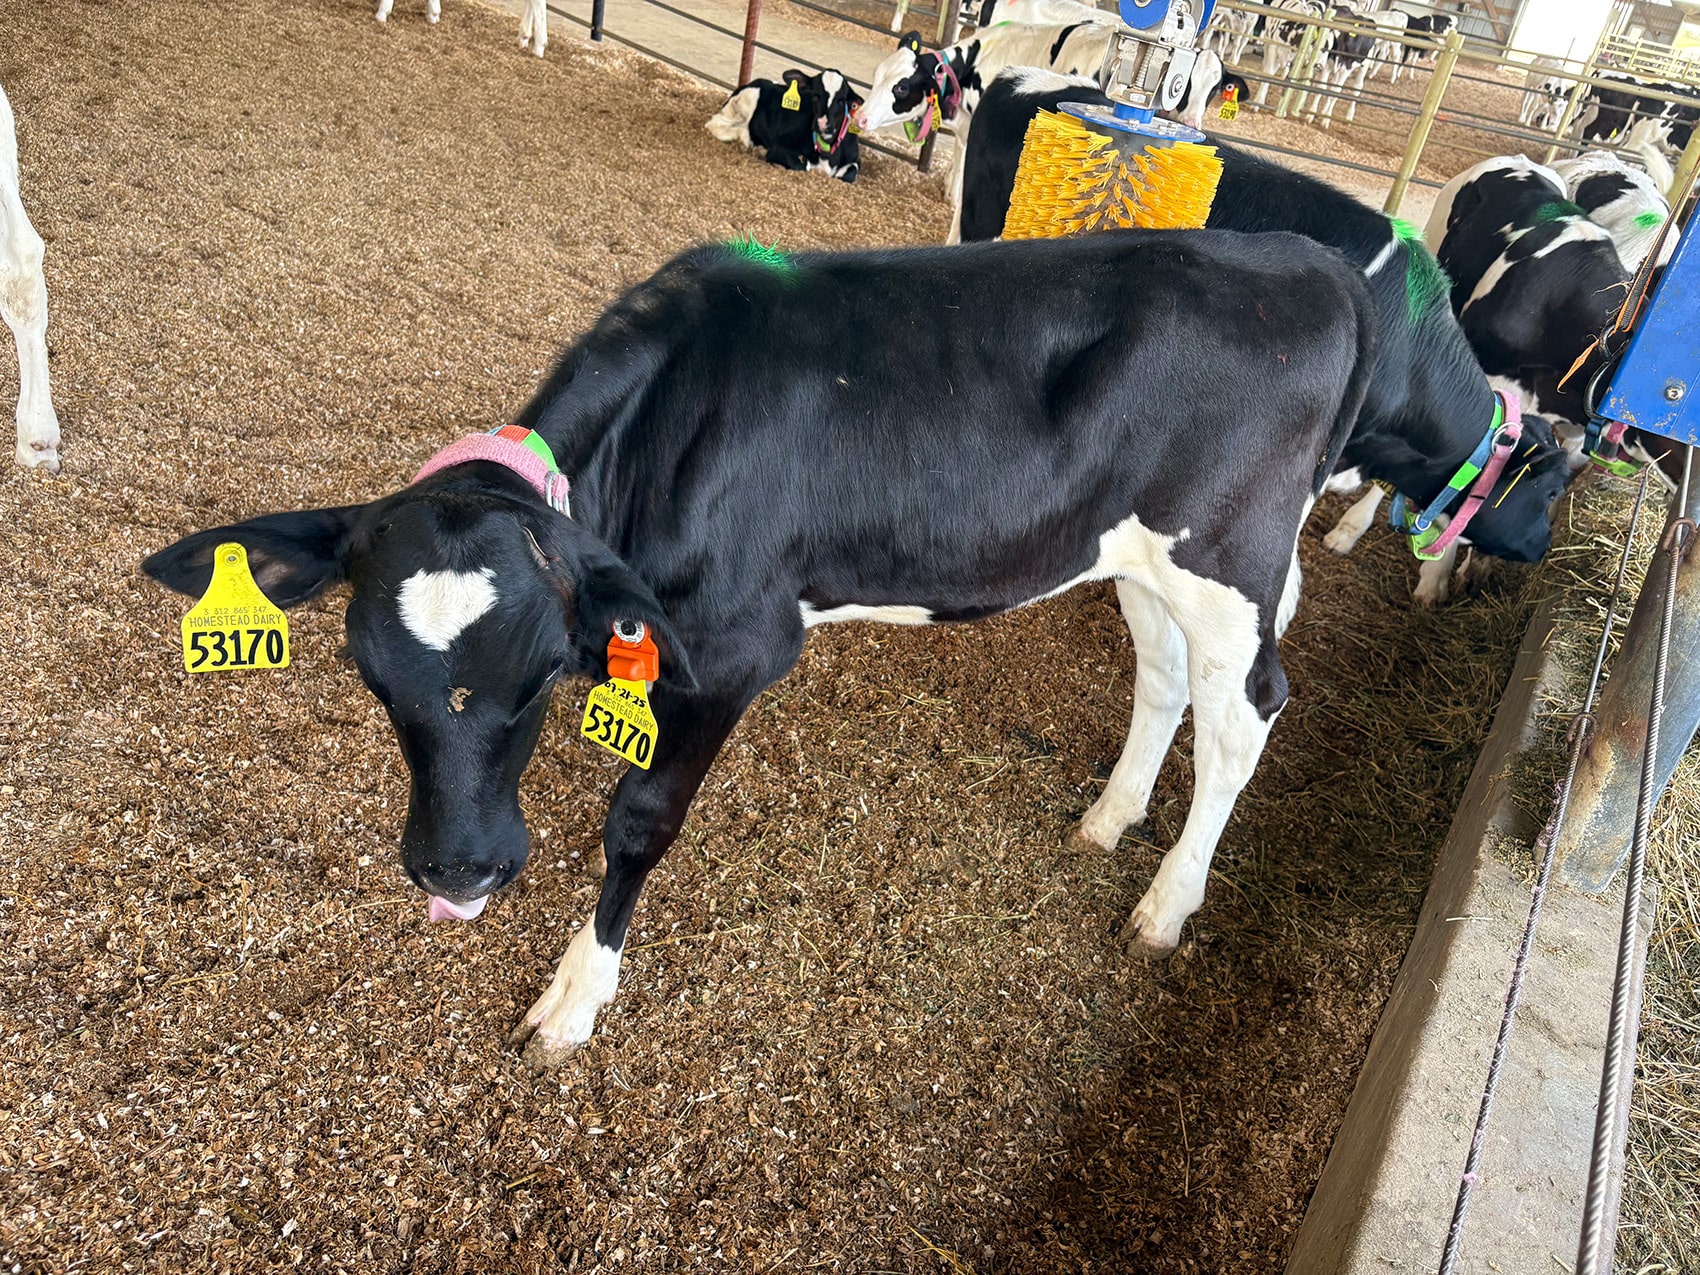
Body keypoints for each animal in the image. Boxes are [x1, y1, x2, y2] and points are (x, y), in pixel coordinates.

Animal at [146, 230, 1388, 1064]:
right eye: (367, 672)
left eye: (541, 672)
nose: (460, 871)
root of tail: (1309, 260)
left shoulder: (736, 647)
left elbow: (638, 820)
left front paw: (576, 995)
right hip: (1135, 557)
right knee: (1166, 678)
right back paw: (1107, 820)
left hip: (1226, 558)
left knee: (1244, 716)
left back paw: (1167, 905)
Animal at [707, 69, 863, 182]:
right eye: (815, 95)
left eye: (841, 100)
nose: (822, 124)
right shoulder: (779, 147)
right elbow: (802, 165)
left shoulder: (855, 159)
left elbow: (850, 173)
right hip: (741, 105)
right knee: (715, 125)